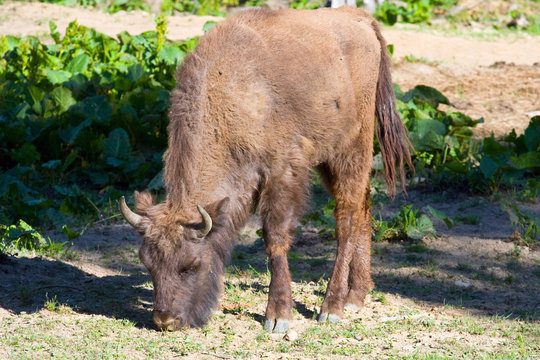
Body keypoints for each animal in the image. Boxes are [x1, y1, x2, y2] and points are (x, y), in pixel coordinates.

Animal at [119, 6, 410, 332]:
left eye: (191, 265)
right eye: (147, 263)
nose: (165, 320)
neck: (230, 93)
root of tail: (360, 17)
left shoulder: (281, 173)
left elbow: (275, 237)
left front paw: (278, 316)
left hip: (350, 149)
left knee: (346, 220)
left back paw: (332, 308)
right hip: (330, 161)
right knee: (363, 206)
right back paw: (356, 295)